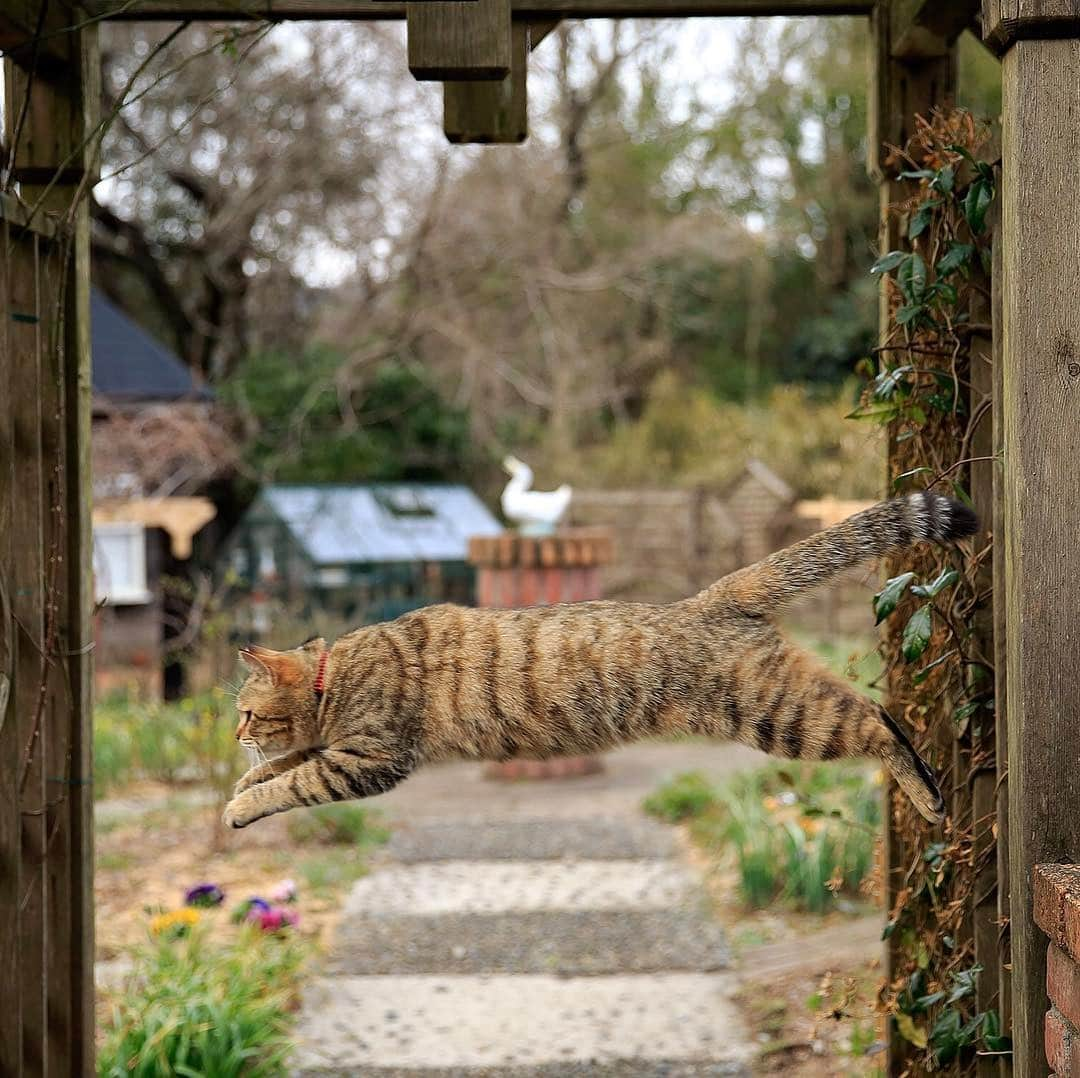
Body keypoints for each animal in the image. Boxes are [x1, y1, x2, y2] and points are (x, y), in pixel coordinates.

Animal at [223, 494, 976, 829]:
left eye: (246, 713)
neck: (336, 675)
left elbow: (294, 781)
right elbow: (285, 765)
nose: (232, 733)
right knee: (882, 712)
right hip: (788, 705)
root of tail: (713, 596)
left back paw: (928, 797)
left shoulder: (369, 759)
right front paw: (241, 783)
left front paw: (242, 803)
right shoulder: (341, 748)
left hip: (783, 717)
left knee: (879, 723)